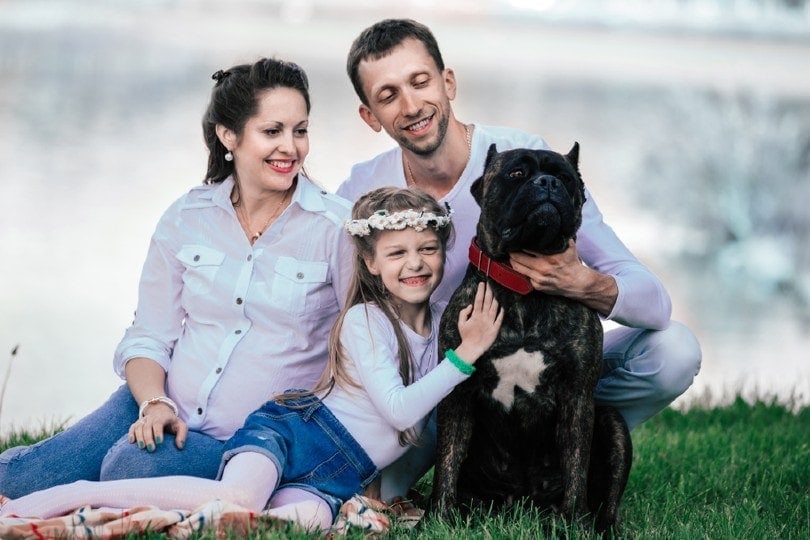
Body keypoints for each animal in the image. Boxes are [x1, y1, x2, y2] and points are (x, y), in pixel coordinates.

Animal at [430, 142, 632, 532]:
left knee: (610, 499)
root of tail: (521, 503)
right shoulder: (457, 395)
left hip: (613, 423)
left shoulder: (577, 395)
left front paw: (574, 523)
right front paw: (438, 520)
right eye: (516, 173)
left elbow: (575, 462)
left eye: (565, 178)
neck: (524, 290)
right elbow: (447, 459)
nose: (547, 182)